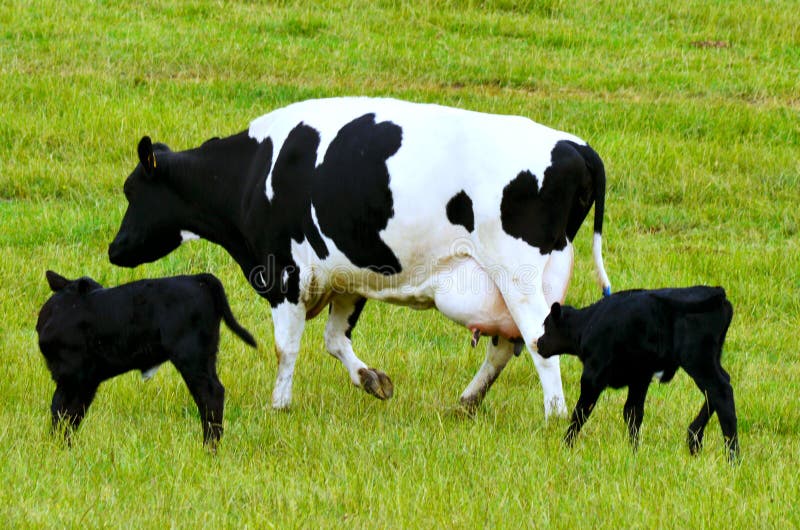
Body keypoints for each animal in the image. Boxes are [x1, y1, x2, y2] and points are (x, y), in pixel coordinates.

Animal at [36, 271, 257, 447]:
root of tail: (197, 278)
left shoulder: (71, 376)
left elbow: (61, 410)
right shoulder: (86, 381)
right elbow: (73, 413)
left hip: (191, 357)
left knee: (210, 395)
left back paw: (209, 447)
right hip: (206, 357)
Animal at [108, 97, 612, 418]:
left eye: (132, 191)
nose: (113, 249)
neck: (253, 173)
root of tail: (574, 145)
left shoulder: (284, 273)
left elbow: (285, 346)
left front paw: (279, 405)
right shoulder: (347, 276)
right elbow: (335, 340)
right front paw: (372, 380)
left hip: (517, 273)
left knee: (537, 343)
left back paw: (553, 416)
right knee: (507, 344)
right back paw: (468, 402)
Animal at [536, 286, 739, 461]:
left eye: (546, 325)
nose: (539, 343)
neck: (587, 325)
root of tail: (716, 291)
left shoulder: (593, 375)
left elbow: (581, 412)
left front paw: (566, 445)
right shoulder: (639, 377)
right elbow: (633, 413)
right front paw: (634, 452)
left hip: (697, 359)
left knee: (720, 391)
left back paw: (732, 457)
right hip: (711, 358)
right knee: (720, 387)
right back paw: (694, 438)